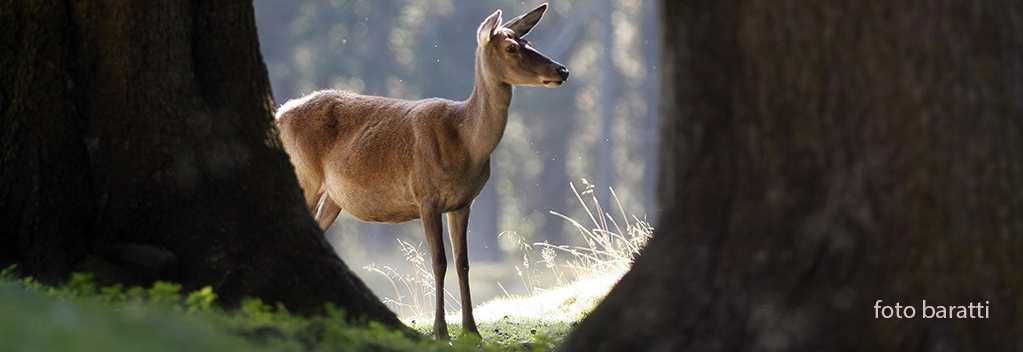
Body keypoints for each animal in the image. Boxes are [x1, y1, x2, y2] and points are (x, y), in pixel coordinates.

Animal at [274, 2, 568, 337]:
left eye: (529, 42)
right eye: (511, 47)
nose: (562, 70)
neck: (466, 144)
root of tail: (280, 113)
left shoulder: (463, 202)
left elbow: (463, 262)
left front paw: (471, 330)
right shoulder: (426, 195)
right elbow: (439, 261)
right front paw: (441, 331)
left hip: (334, 196)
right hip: (305, 176)